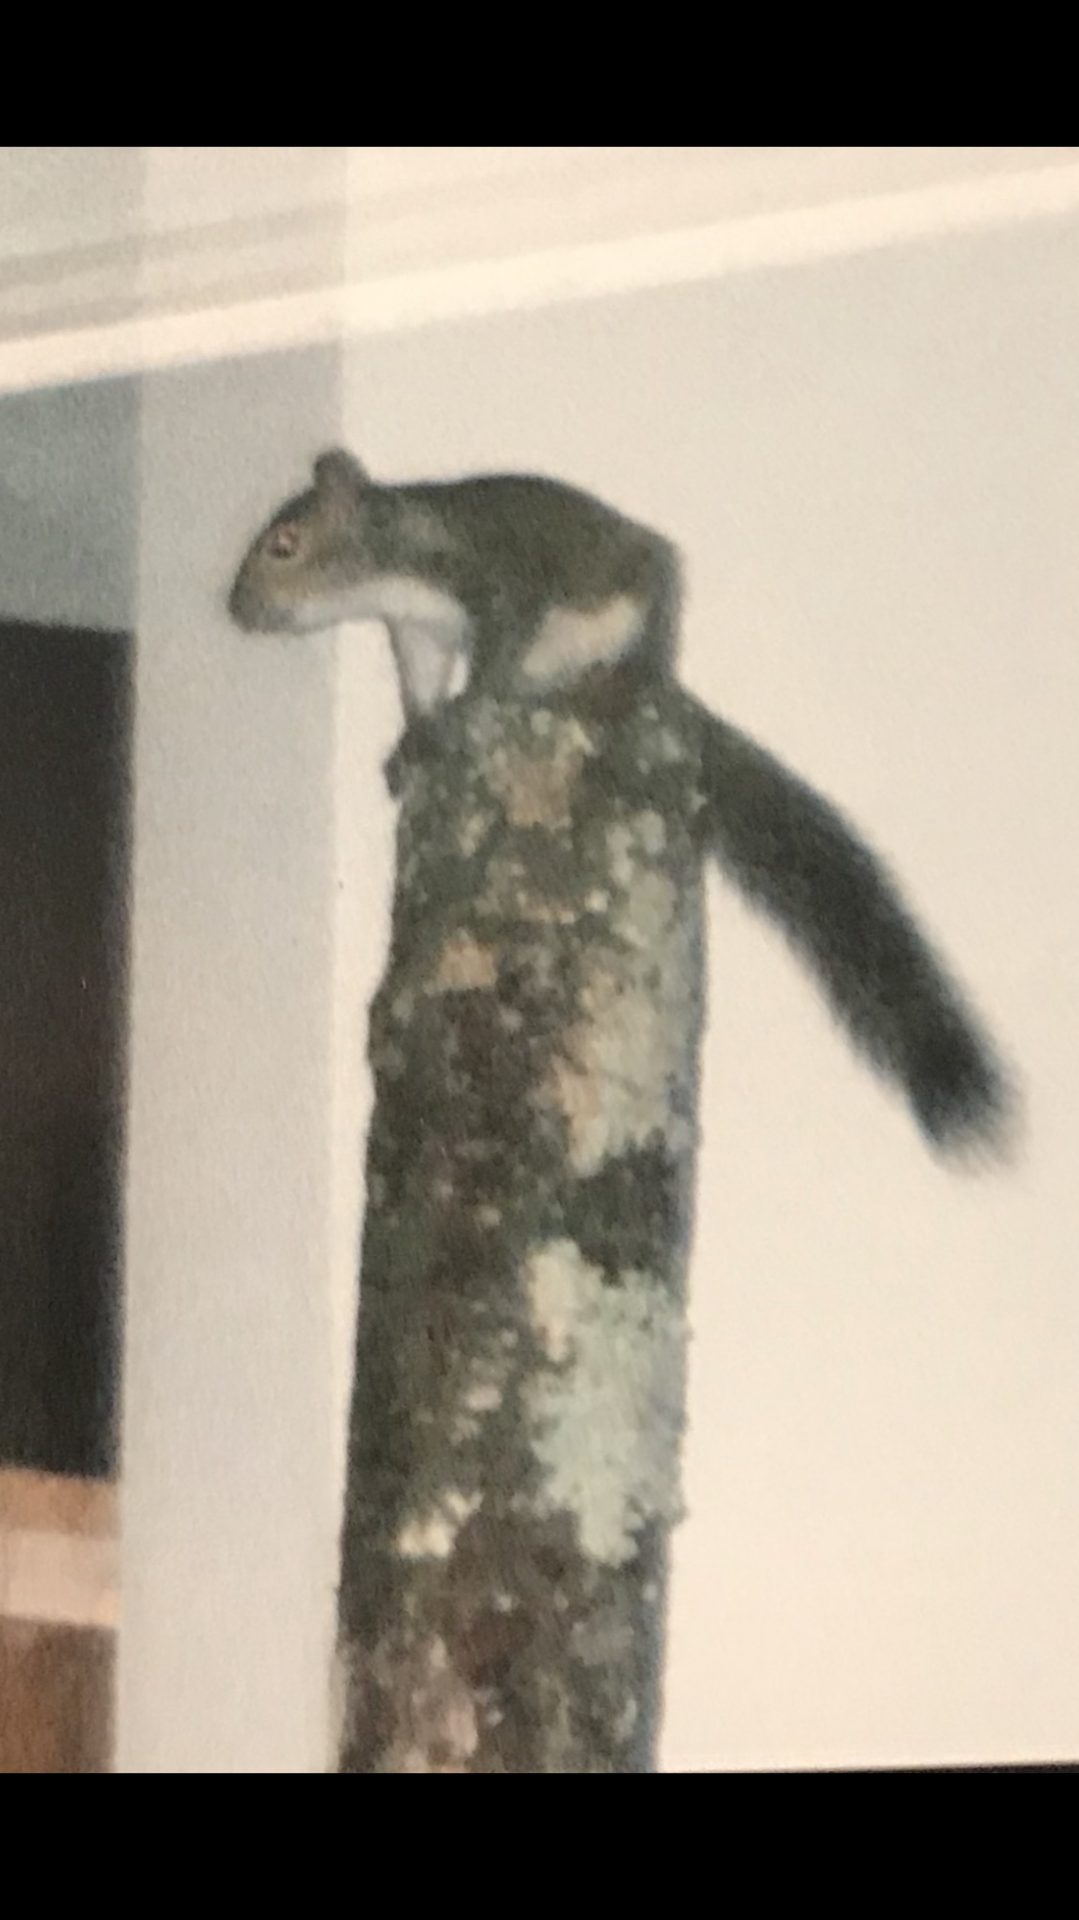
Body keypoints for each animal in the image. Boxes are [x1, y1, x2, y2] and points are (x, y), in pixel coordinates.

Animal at [229, 447, 1013, 1163]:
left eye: (284, 545)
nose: (235, 610)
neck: (392, 559)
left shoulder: (495, 577)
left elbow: (497, 661)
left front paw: (466, 710)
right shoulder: (418, 633)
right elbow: (421, 687)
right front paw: (415, 741)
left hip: (641, 607)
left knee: (628, 661)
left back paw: (601, 686)